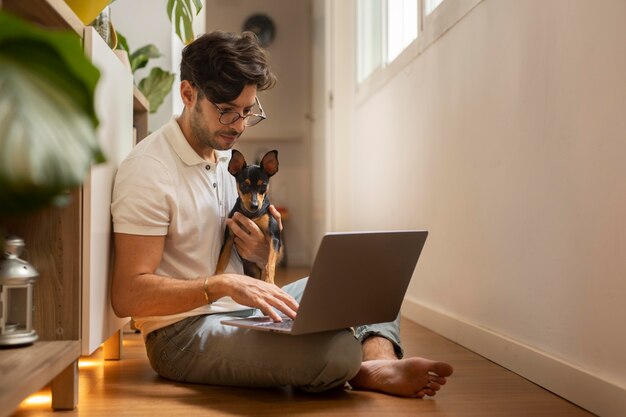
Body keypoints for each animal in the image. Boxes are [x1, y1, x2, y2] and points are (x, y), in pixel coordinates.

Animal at [216, 149, 282, 282]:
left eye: (263, 186)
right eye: (244, 185)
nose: (254, 205)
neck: (251, 215)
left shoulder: (274, 238)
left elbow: (269, 265)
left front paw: (269, 282)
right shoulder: (229, 239)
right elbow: (222, 260)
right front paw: (216, 276)